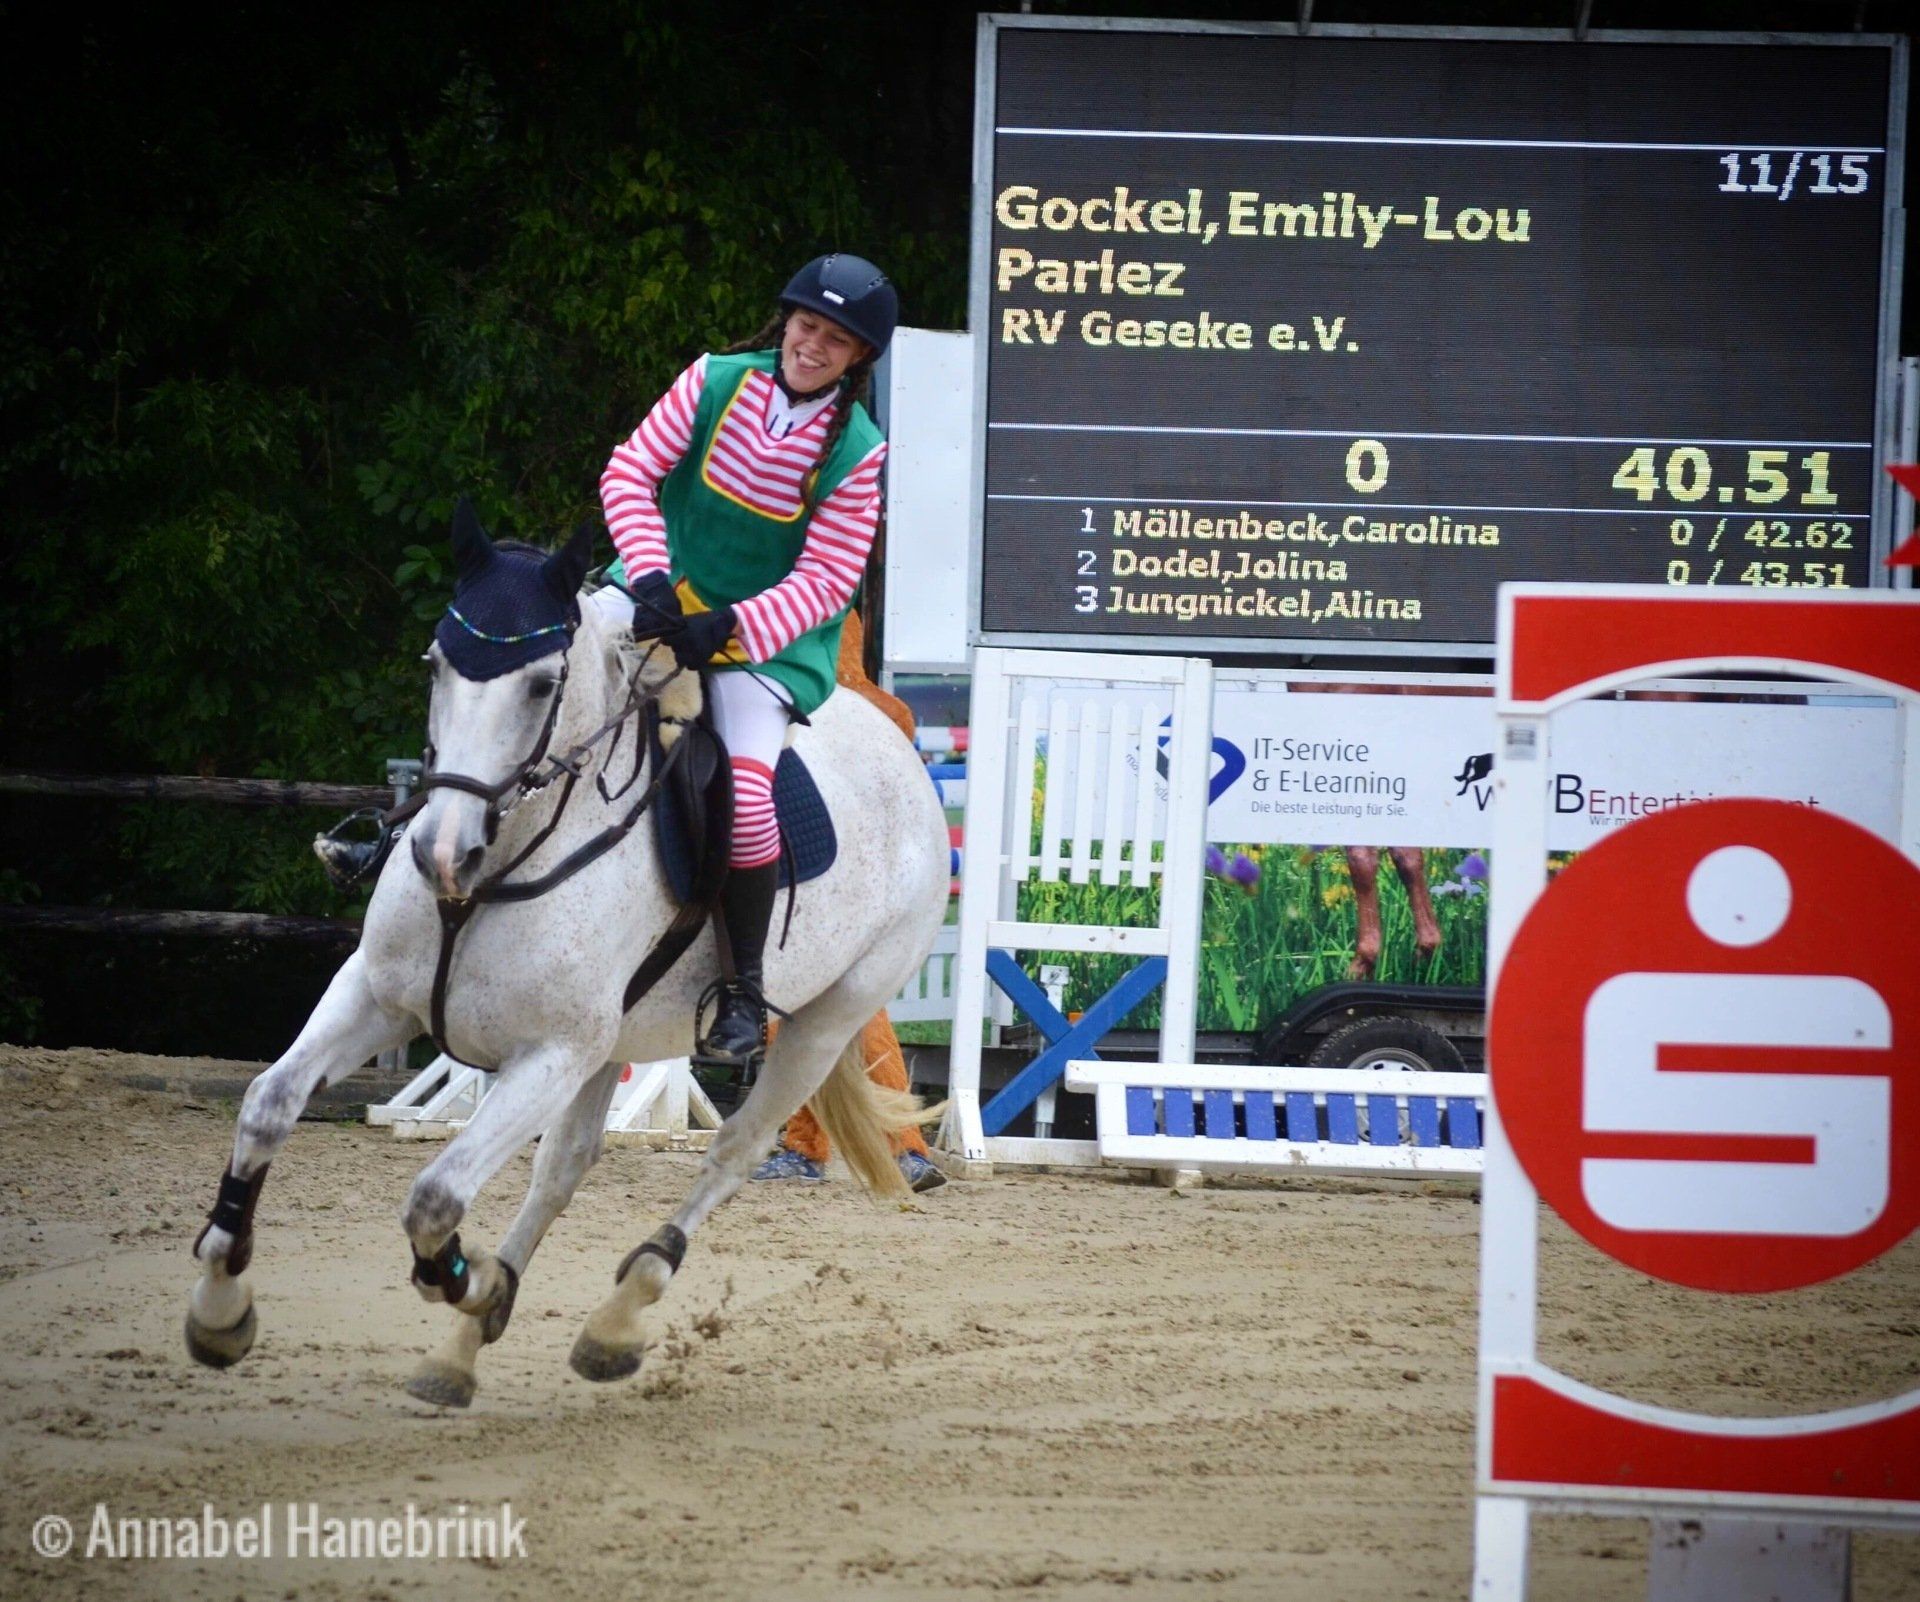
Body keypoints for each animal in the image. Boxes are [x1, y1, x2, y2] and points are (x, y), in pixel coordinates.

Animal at [182, 502, 950, 1407]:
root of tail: (900, 748)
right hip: (612, 1044)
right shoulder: (377, 996)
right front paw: (220, 1306)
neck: (497, 866)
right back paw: (460, 1352)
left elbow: (435, 1197)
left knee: (733, 1151)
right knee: (566, 1166)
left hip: (816, 1027)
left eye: (542, 685)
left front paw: (471, 1279)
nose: (441, 855)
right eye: (436, 664)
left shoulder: (548, 1053)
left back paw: (615, 1317)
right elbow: (267, 1105)